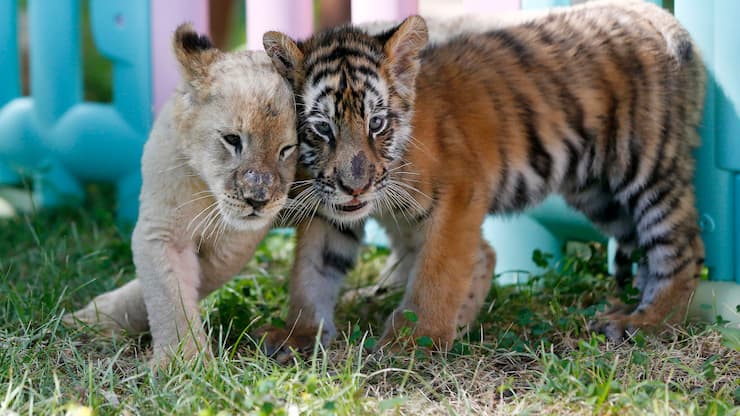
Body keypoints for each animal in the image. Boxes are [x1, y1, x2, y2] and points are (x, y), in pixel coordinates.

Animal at [258, 0, 707, 355]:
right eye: (322, 129)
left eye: (377, 124)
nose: (356, 186)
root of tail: (659, 18)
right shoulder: (329, 207)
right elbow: (312, 272)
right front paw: (299, 333)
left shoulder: (458, 196)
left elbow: (438, 272)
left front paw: (416, 339)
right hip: (598, 193)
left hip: (646, 166)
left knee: (683, 248)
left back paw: (645, 322)